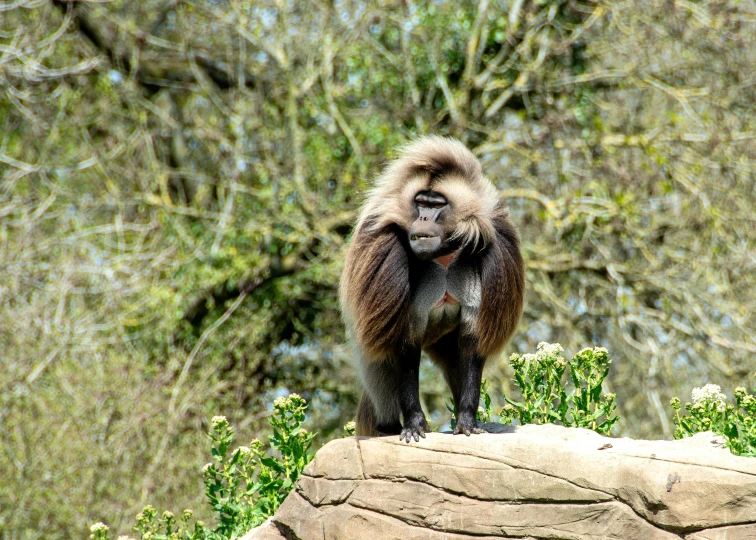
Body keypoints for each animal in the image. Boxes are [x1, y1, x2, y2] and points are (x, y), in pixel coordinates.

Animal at [340, 136, 524, 442]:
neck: (444, 255)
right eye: (420, 202)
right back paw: (386, 427)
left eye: (437, 204)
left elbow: (472, 342)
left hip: (442, 340)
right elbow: (403, 344)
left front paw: (467, 421)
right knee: (379, 366)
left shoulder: (496, 245)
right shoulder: (384, 248)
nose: (423, 219)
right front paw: (415, 423)